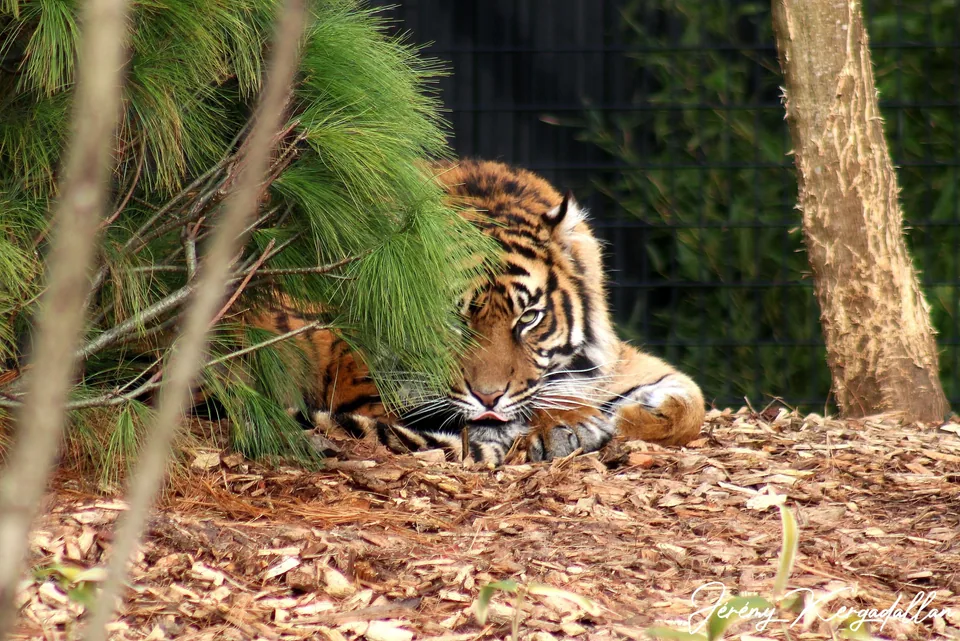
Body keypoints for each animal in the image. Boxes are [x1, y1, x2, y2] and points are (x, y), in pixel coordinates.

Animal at [247, 160, 705, 465]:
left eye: (528, 318)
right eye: (455, 317)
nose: (488, 397)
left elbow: (691, 406)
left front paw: (623, 417)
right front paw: (570, 424)